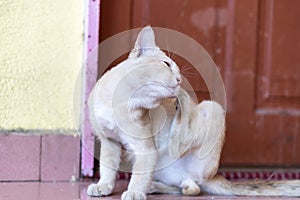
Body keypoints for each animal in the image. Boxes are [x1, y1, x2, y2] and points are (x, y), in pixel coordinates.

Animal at [85, 26, 182, 200]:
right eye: (166, 64)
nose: (180, 80)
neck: (119, 104)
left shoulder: (146, 149)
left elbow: (140, 174)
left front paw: (135, 192)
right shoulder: (109, 141)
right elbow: (107, 167)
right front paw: (103, 186)